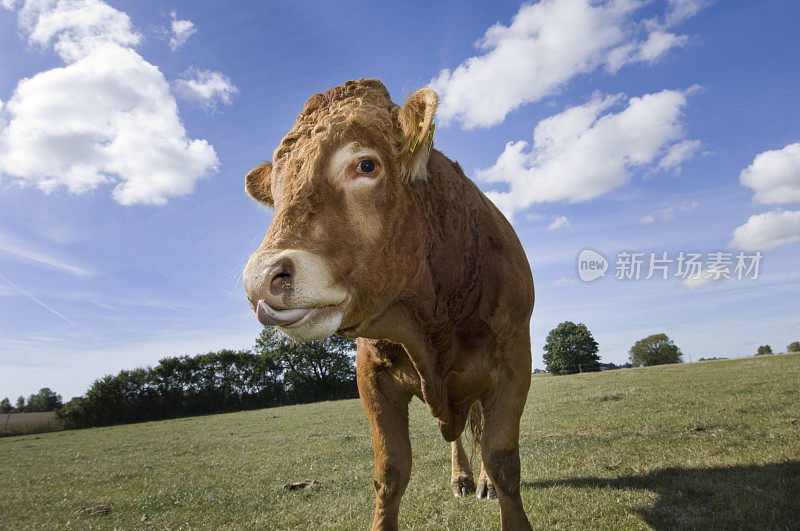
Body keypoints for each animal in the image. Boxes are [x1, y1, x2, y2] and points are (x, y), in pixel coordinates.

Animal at [241, 77, 536, 528]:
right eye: (274, 192)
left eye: (366, 165)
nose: (259, 280)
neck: (430, 325)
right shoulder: (370, 374)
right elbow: (390, 471)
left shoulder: (515, 359)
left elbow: (502, 459)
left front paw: (497, 487)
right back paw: (462, 478)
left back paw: (481, 481)